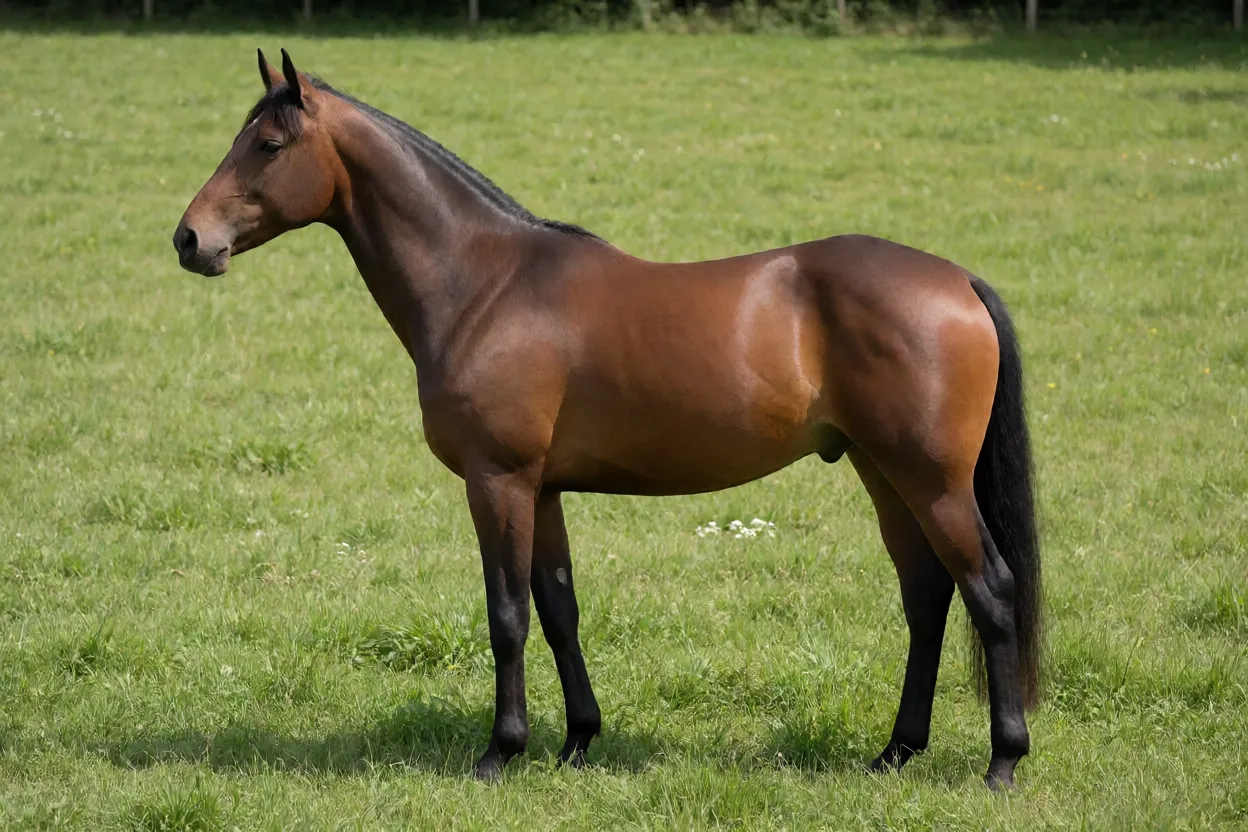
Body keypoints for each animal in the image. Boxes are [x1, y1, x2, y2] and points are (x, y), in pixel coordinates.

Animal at [174, 49, 1043, 789]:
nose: (189, 239)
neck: (486, 284)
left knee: (990, 590)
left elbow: (507, 616)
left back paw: (1002, 760)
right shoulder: (544, 489)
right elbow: (559, 611)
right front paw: (578, 742)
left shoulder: (498, 482)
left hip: (931, 482)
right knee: (927, 595)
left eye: (269, 144)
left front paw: (500, 752)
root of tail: (957, 281)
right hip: (882, 472)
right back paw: (895, 752)